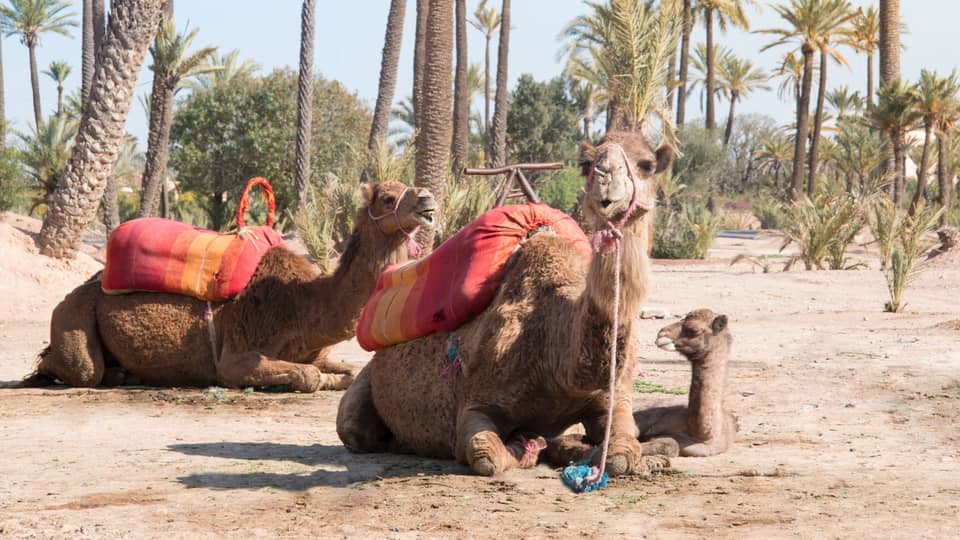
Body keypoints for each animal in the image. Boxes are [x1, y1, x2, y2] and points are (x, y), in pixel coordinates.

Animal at [22, 181, 437, 392]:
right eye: (388, 196)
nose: (428, 199)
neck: (302, 303)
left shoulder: (313, 351)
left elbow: (345, 373)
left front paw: (338, 377)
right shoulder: (236, 357)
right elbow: (308, 377)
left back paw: (127, 374)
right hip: (74, 316)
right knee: (79, 368)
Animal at [337, 130, 673, 476]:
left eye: (647, 165)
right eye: (586, 164)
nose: (606, 179)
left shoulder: (611, 400)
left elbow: (622, 452)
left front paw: (643, 459)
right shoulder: (476, 403)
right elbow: (486, 455)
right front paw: (528, 444)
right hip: (362, 392)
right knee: (355, 428)